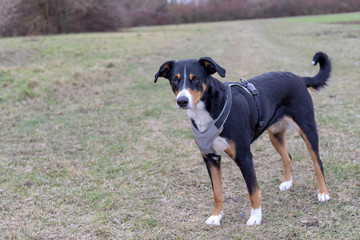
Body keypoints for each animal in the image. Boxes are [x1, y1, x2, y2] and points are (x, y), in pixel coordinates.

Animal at [153, 51, 330, 226]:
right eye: (174, 80)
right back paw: (287, 182)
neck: (207, 113)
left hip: (308, 129)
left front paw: (256, 217)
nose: (182, 101)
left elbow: (253, 191)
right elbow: (217, 192)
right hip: (275, 134)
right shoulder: (210, 158)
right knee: (288, 156)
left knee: (318, 162)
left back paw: (323, 193)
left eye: (195, 78)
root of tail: (298, 77)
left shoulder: (244, 157)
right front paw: (216, 216)